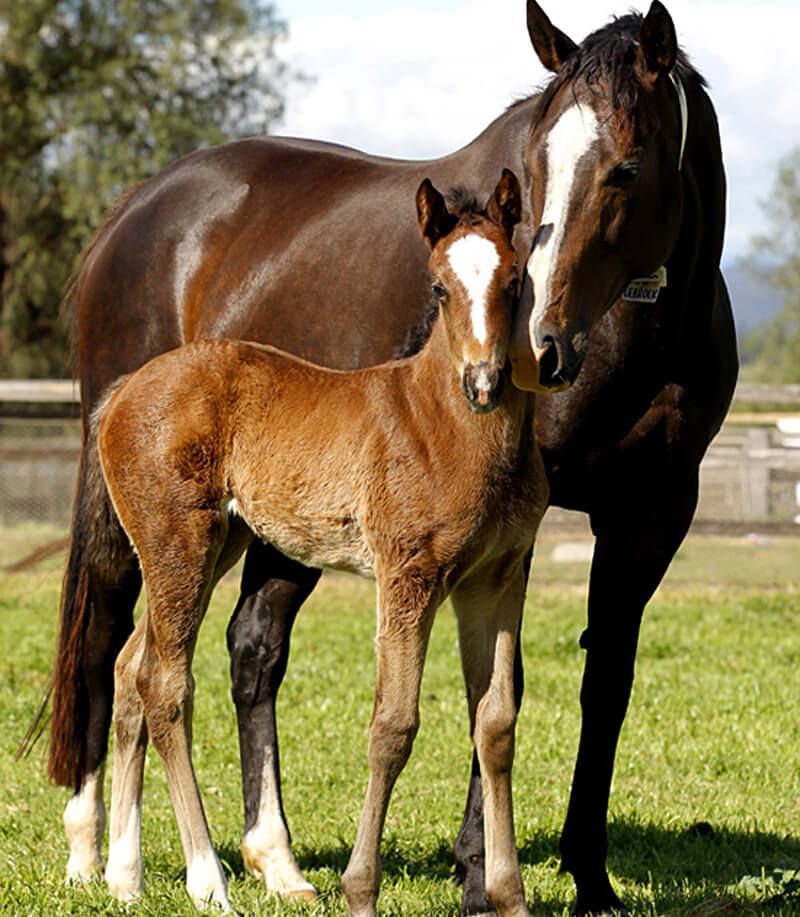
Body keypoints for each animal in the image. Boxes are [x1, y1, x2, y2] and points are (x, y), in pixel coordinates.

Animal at [94, 172, 544, 915]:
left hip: (210, 544)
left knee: (131, 668)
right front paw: (361, 890)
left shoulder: (494, 580)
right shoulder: (409, 574)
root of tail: (124, 390)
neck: (447, 424)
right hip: (180, 540)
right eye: (439, 286)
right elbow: (393, 727)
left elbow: (497, 724)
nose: (483, 382)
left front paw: (508, 895)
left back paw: (124, 875)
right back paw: (208, 878)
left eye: (514, 281)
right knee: (164, 684)